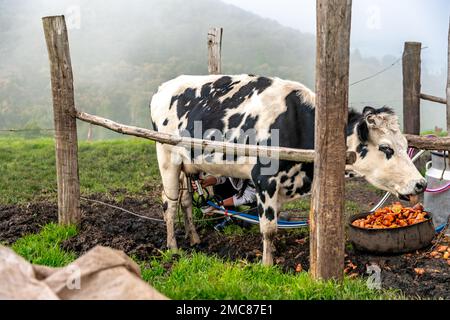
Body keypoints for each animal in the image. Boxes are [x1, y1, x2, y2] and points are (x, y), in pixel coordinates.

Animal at [149, 75, 428, 264]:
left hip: (186, 163)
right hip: (166, 157)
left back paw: (194, 238)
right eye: (386, 148)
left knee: (186, 200)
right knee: (169, 203)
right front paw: (267, 264)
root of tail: (164, 87)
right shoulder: (264, 181)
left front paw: (273, 252)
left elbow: (275, 222)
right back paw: (173, 247)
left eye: (405, 145)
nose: (421, 184)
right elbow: (268, 227)